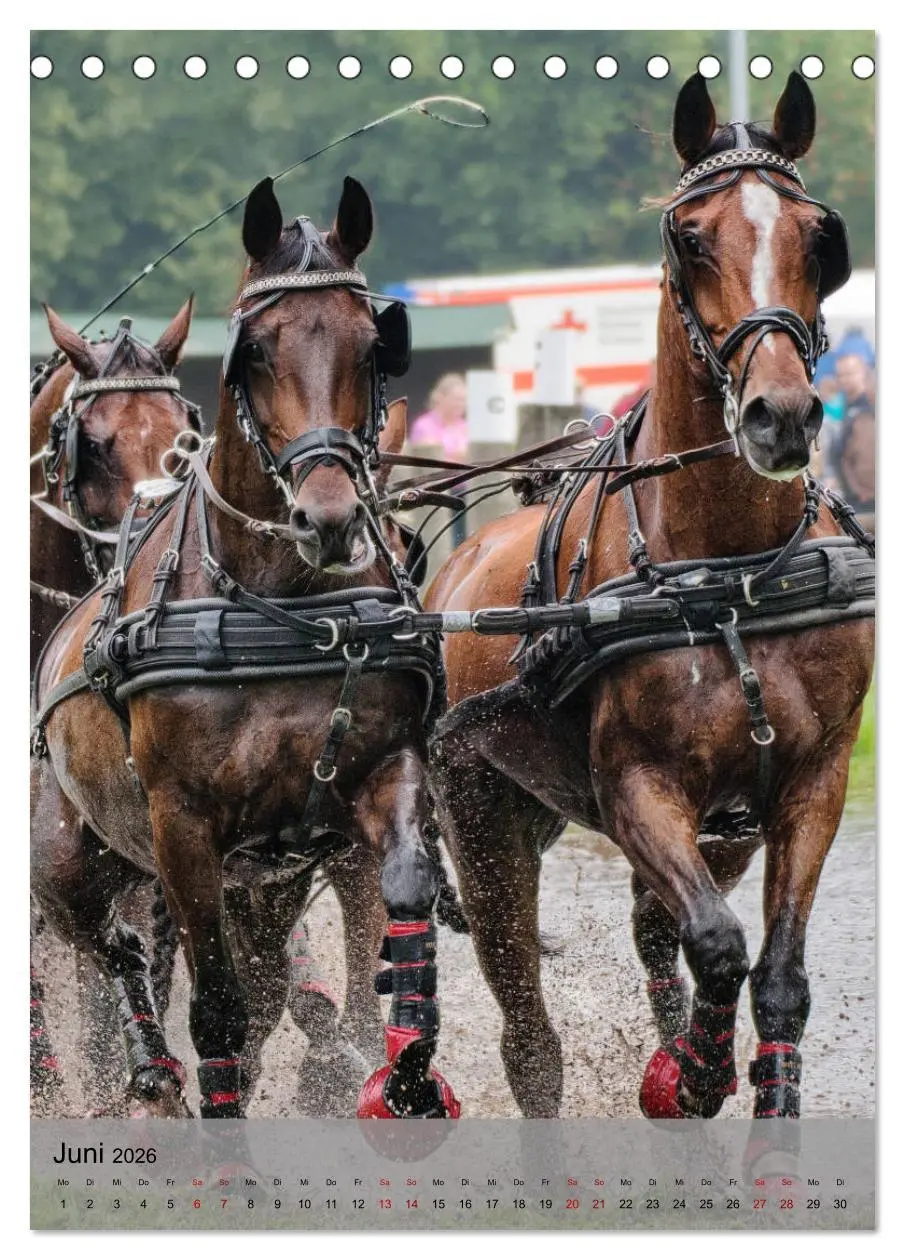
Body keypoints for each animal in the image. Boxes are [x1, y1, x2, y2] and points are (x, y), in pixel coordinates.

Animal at [31, 175, 459, 1120]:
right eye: (253, 351)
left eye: (373, 346)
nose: (328, 517)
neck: (281, 611)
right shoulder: (181, 829)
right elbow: (216, 1006)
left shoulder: (379, 780)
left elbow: (401, 900)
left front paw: (406, 1069)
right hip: (68, 853)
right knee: (110, 943)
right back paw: (145, 1070)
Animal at [425, 71, 874, 1128]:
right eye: (692, 237)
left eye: (817, 237)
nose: (781, 416)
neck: (731, 574)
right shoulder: (635, 786)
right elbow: (716, 947)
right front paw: (693, 1074)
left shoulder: (809, 782)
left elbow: (775, 978)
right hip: (484, 822)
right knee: (528, 1032)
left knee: (651, 934)